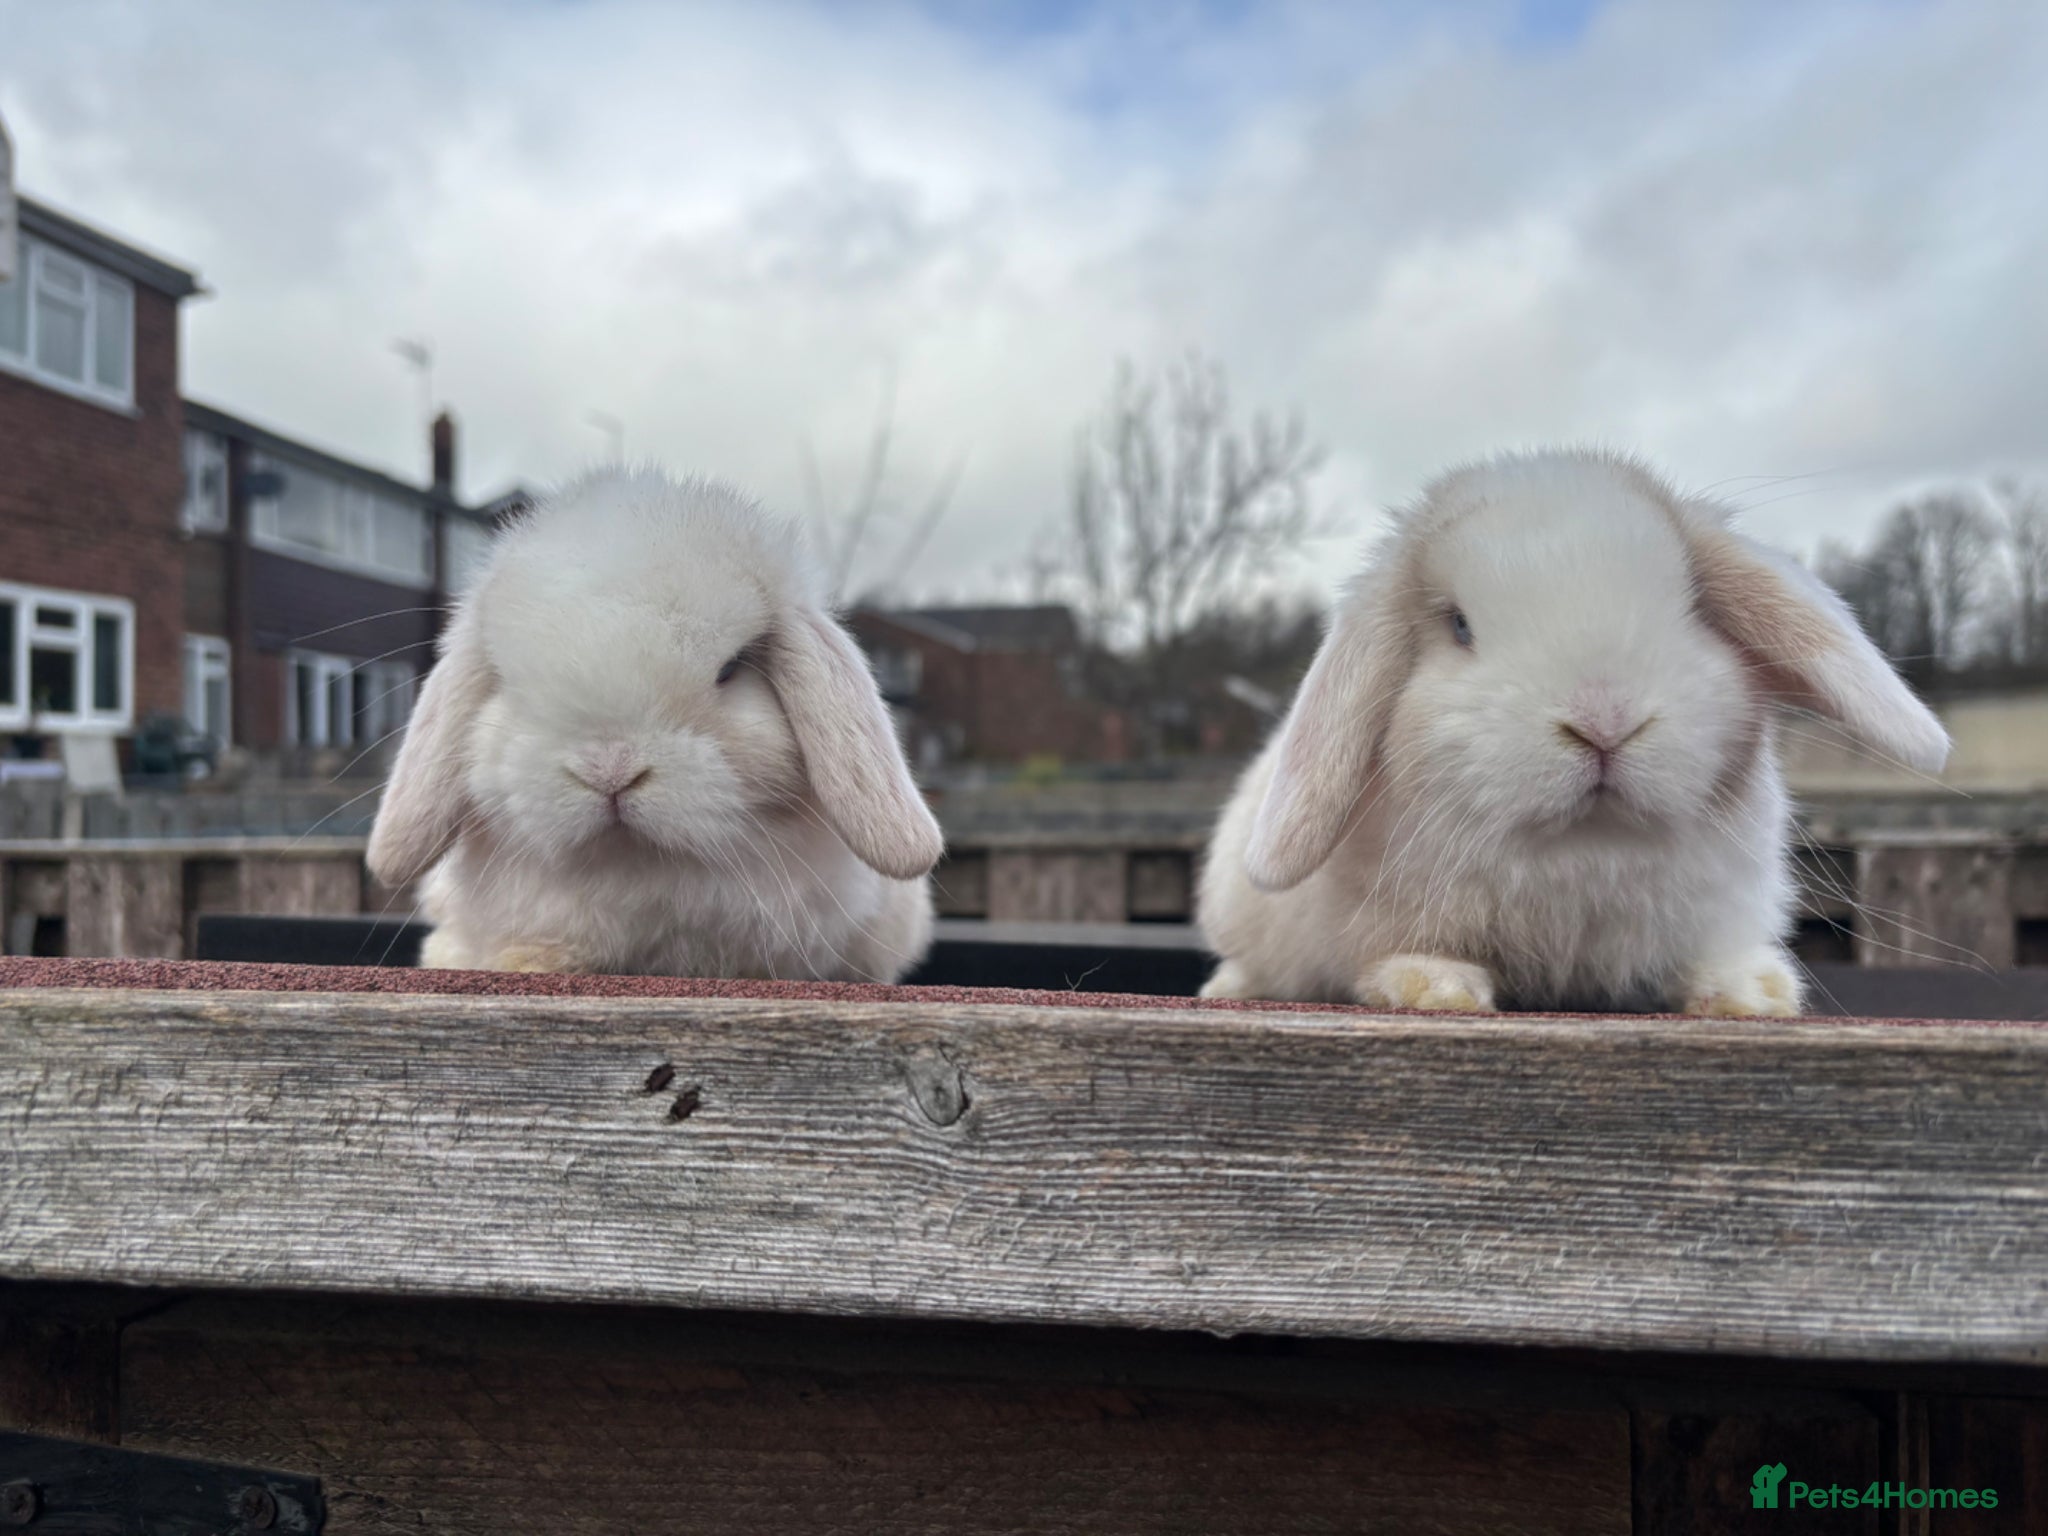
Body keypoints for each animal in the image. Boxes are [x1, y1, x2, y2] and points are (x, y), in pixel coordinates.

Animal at [1196, 447, 1951, 1017]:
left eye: (1692, 605)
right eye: (1460, 626)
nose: (1603, 720)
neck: (1586, 847)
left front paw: (1752, 991)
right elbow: (1400, 955)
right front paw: (1434, 986)